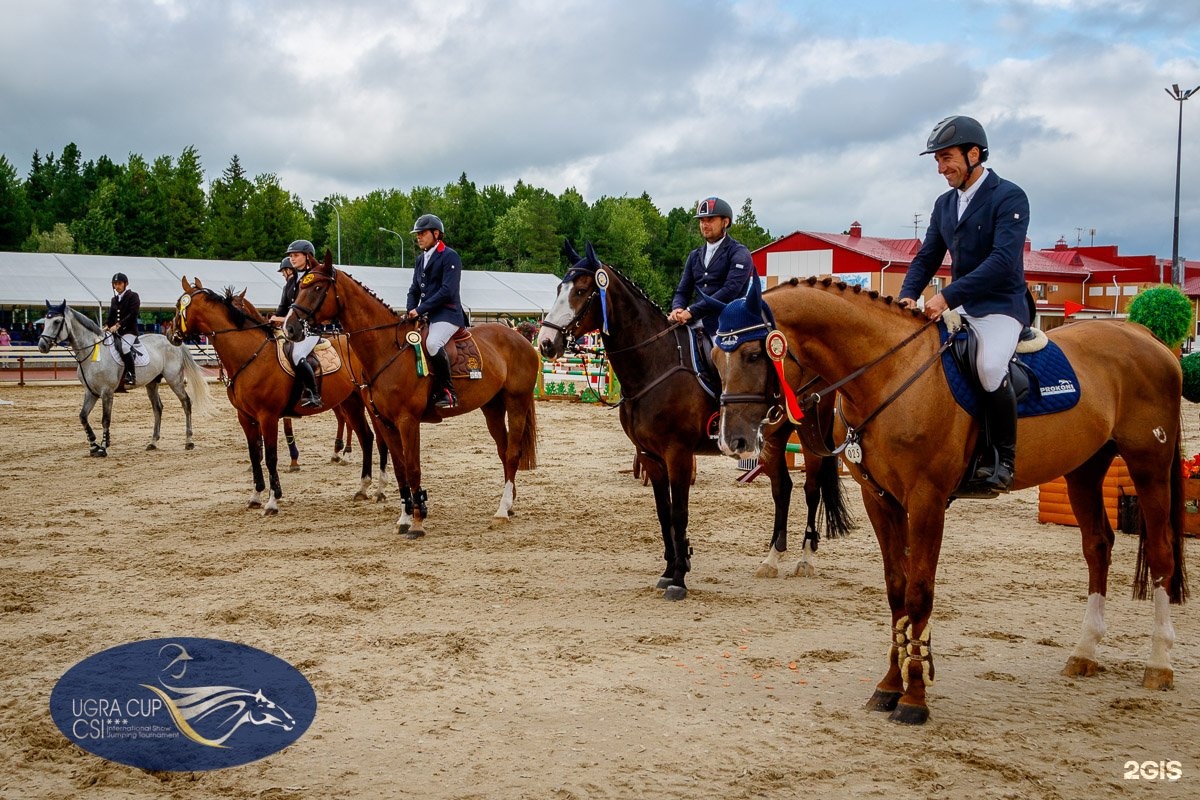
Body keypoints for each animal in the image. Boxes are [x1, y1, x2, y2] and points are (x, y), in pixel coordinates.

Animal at [37, 299, 214, 455]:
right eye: (45, 321)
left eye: (57, 322)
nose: (42, 346)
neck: (91, 353)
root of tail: (173, 340)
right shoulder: (91, 392)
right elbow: (83, 416)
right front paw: (93, 444)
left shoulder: (106, 392)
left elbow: (105, 419)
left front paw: (103, 447)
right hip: (152, 383)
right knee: (158, 408)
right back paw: (153, 442)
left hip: (174, 380)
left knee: (186, 403)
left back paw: (189, 441)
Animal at [170, 278, 388, 515]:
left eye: (178, 306)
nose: (171, 333)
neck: (250, 355)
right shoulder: (245, 417)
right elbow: (255, 454)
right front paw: (255, 496)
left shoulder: (268, 416)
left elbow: (270, 456)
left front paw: (272, 500)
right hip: (349, 401)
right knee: (366, 437)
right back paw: (363, 487)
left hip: (367, 401)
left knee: (379, 437)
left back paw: (380, 488)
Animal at [283, 250, 537, 537]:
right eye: (299, 288)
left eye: (316, 288)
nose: (290, 328)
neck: (386, 349)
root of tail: (522, 339)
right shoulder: (386, 422)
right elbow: (400, 469)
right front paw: (405, 517)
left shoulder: (408, 421)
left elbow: (414, 468)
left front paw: (417, 521)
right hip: (492, 407)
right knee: (503, 451)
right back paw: (510, 503)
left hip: (516, 403)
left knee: (512, 453)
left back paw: (502, 510)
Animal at [535, 242, 854, 599]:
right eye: (559, 289)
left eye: (580, 291)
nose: (546, 343)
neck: (655, 364)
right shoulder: (651, 457)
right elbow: (664, 514)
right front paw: (670, 570)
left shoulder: (678, 454)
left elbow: (679, 513)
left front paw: (678, 579)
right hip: (770, 438)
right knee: (782, 488)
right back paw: (771, 559)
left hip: (809, 433)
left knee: (812, 489)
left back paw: (806, 558)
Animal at [710, 275, 1190, 724]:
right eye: (715, 357)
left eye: (753, 354)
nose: (733, 440)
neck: (890, 373)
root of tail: (1146, 336)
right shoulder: (879, 499)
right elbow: (897, 591)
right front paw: (889, 687)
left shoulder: (927, 500)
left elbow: (919, 593)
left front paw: (914, 699)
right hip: (1085, 468)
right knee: (1098, 547)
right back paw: (1085, 652)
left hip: (1148, 465)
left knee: (1161, 553)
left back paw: (1159, 664)